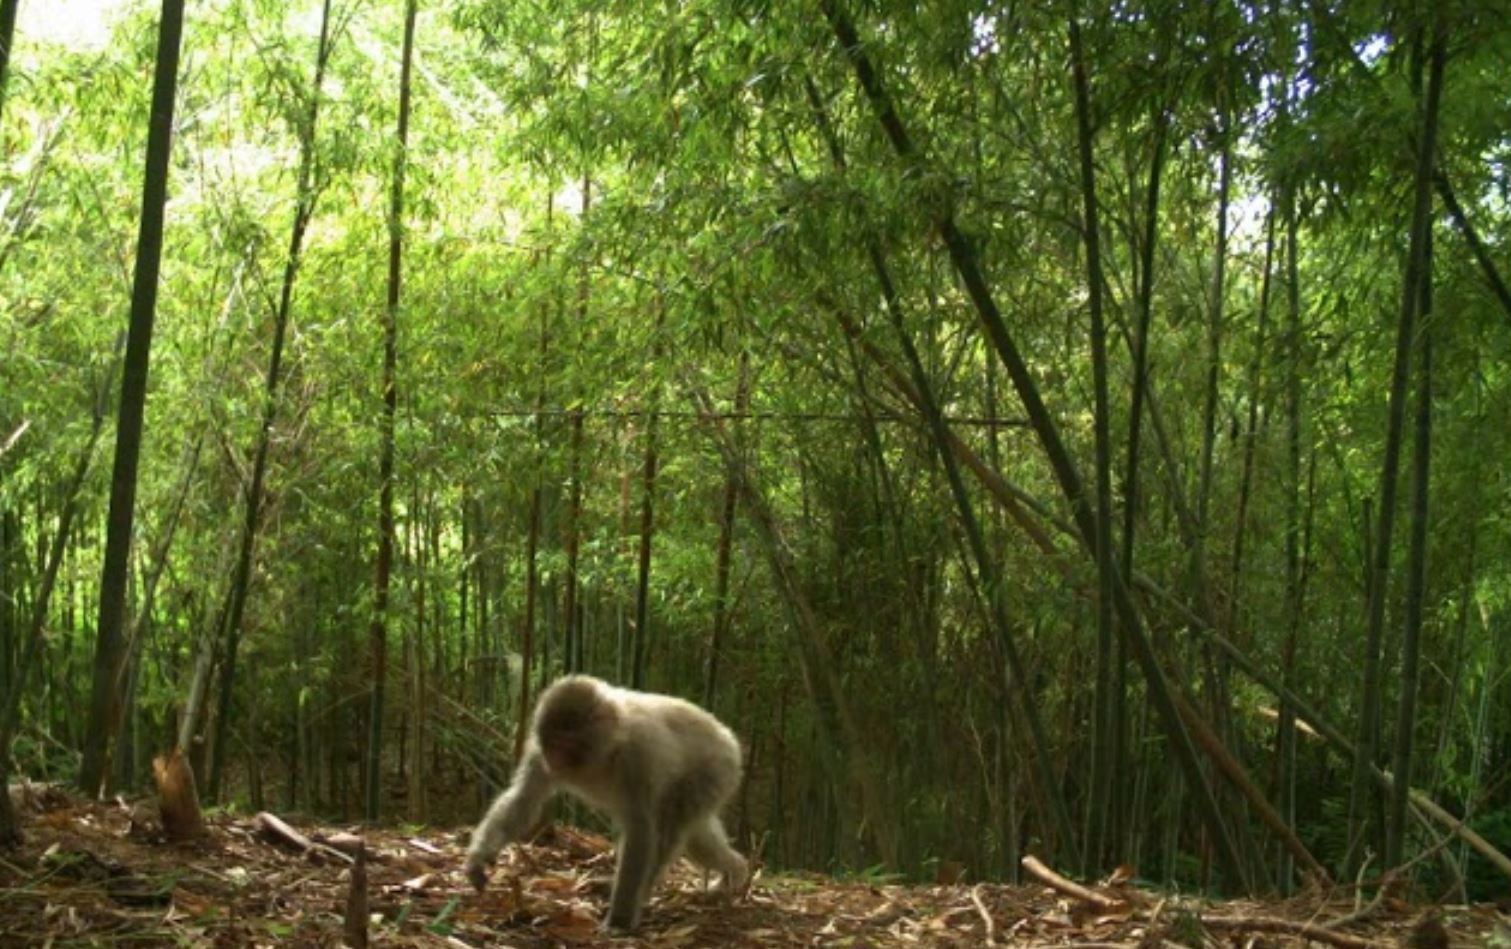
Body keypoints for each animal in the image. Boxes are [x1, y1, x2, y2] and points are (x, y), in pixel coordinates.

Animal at [464, 675, 749, 932]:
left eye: (565, 743)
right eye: (549, 742)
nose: (553, 758)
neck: (607, 747)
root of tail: (728, 736)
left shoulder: (639, 757)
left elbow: (641, 830)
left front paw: (619, 920)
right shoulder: (537, 751)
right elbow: (523, 799)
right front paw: (478, 858)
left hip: (715, 770)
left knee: (670, 829)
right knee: (698, 840)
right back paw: (736, 871)